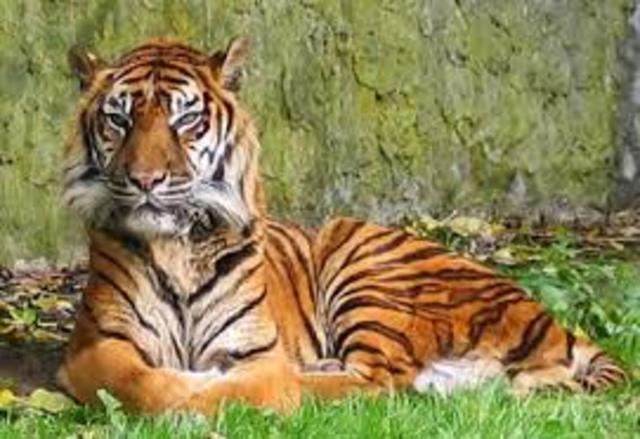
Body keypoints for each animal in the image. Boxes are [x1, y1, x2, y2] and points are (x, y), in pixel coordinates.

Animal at [58, 38, 626, 414]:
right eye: (119, 120)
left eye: (186, 121)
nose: (145, 180)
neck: (177, 246)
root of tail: (548, 318)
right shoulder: (96, 344)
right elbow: (142, 381)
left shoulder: (256, 351)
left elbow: (254, 385)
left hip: (365, 269)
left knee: (380, 381)